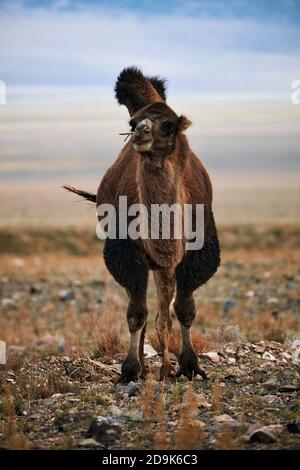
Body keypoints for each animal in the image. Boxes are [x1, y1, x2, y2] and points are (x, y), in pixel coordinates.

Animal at [64, 67, 220, 382]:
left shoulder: (196, 251)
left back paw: (165, 366)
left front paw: (189, 365)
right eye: (132, 122)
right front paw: (130, 369)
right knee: (146, 309)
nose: (140, 131)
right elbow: (136, 313)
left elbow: (184, 309)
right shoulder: (126, 251)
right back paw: (149, 366)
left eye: (168, 125)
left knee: (164, 309)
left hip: (163, 263)